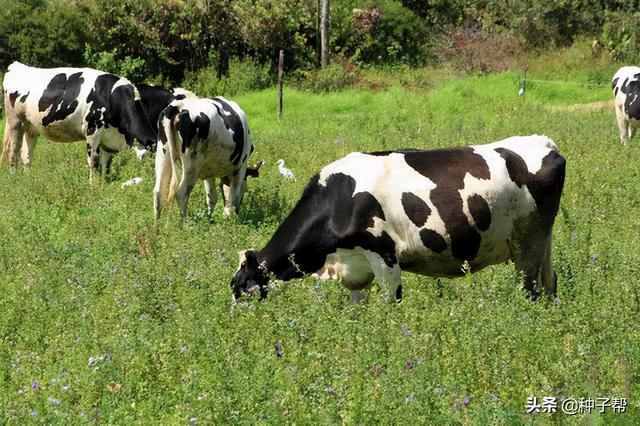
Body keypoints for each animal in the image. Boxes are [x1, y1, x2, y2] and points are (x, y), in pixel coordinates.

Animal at [231, 135, 564, 302]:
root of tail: (544, 142)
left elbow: (391, 304)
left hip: (528, 242)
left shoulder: (384, 255)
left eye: (240, 289)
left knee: (531, 291)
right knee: (550, 286)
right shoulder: (356, 270)